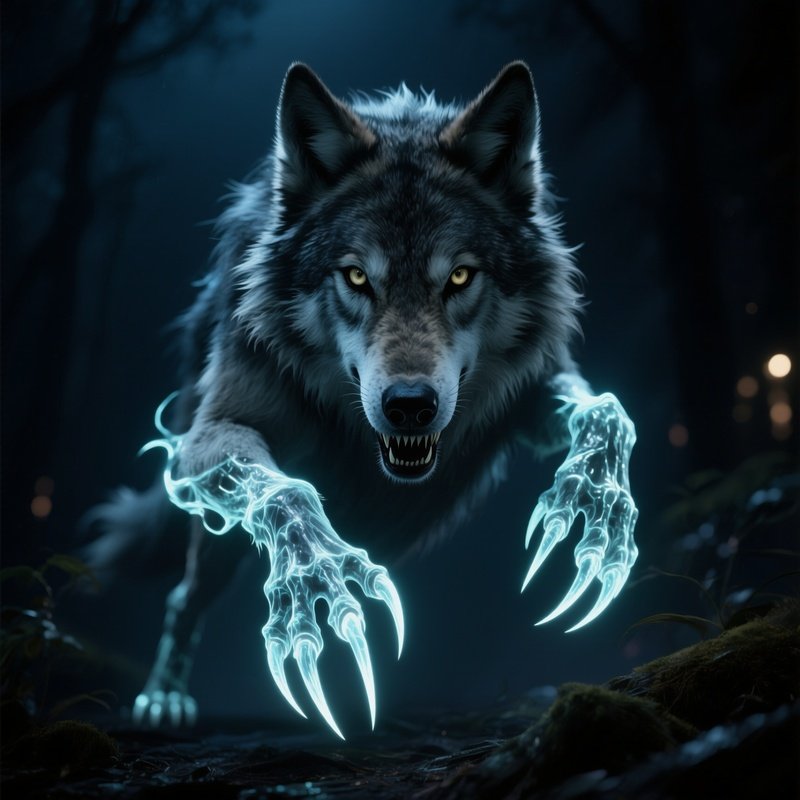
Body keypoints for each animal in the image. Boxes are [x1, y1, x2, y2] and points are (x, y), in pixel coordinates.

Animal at [89, 61, 638, 737]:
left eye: (459, 276)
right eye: (356, 276)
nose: (410, 404)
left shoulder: (533, 391)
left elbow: (609, 411)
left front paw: (597, 514)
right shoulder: (205, 438)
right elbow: (286, 495)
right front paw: (317, 581)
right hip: (210, 536)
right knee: (183, 596)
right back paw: (165, 698)